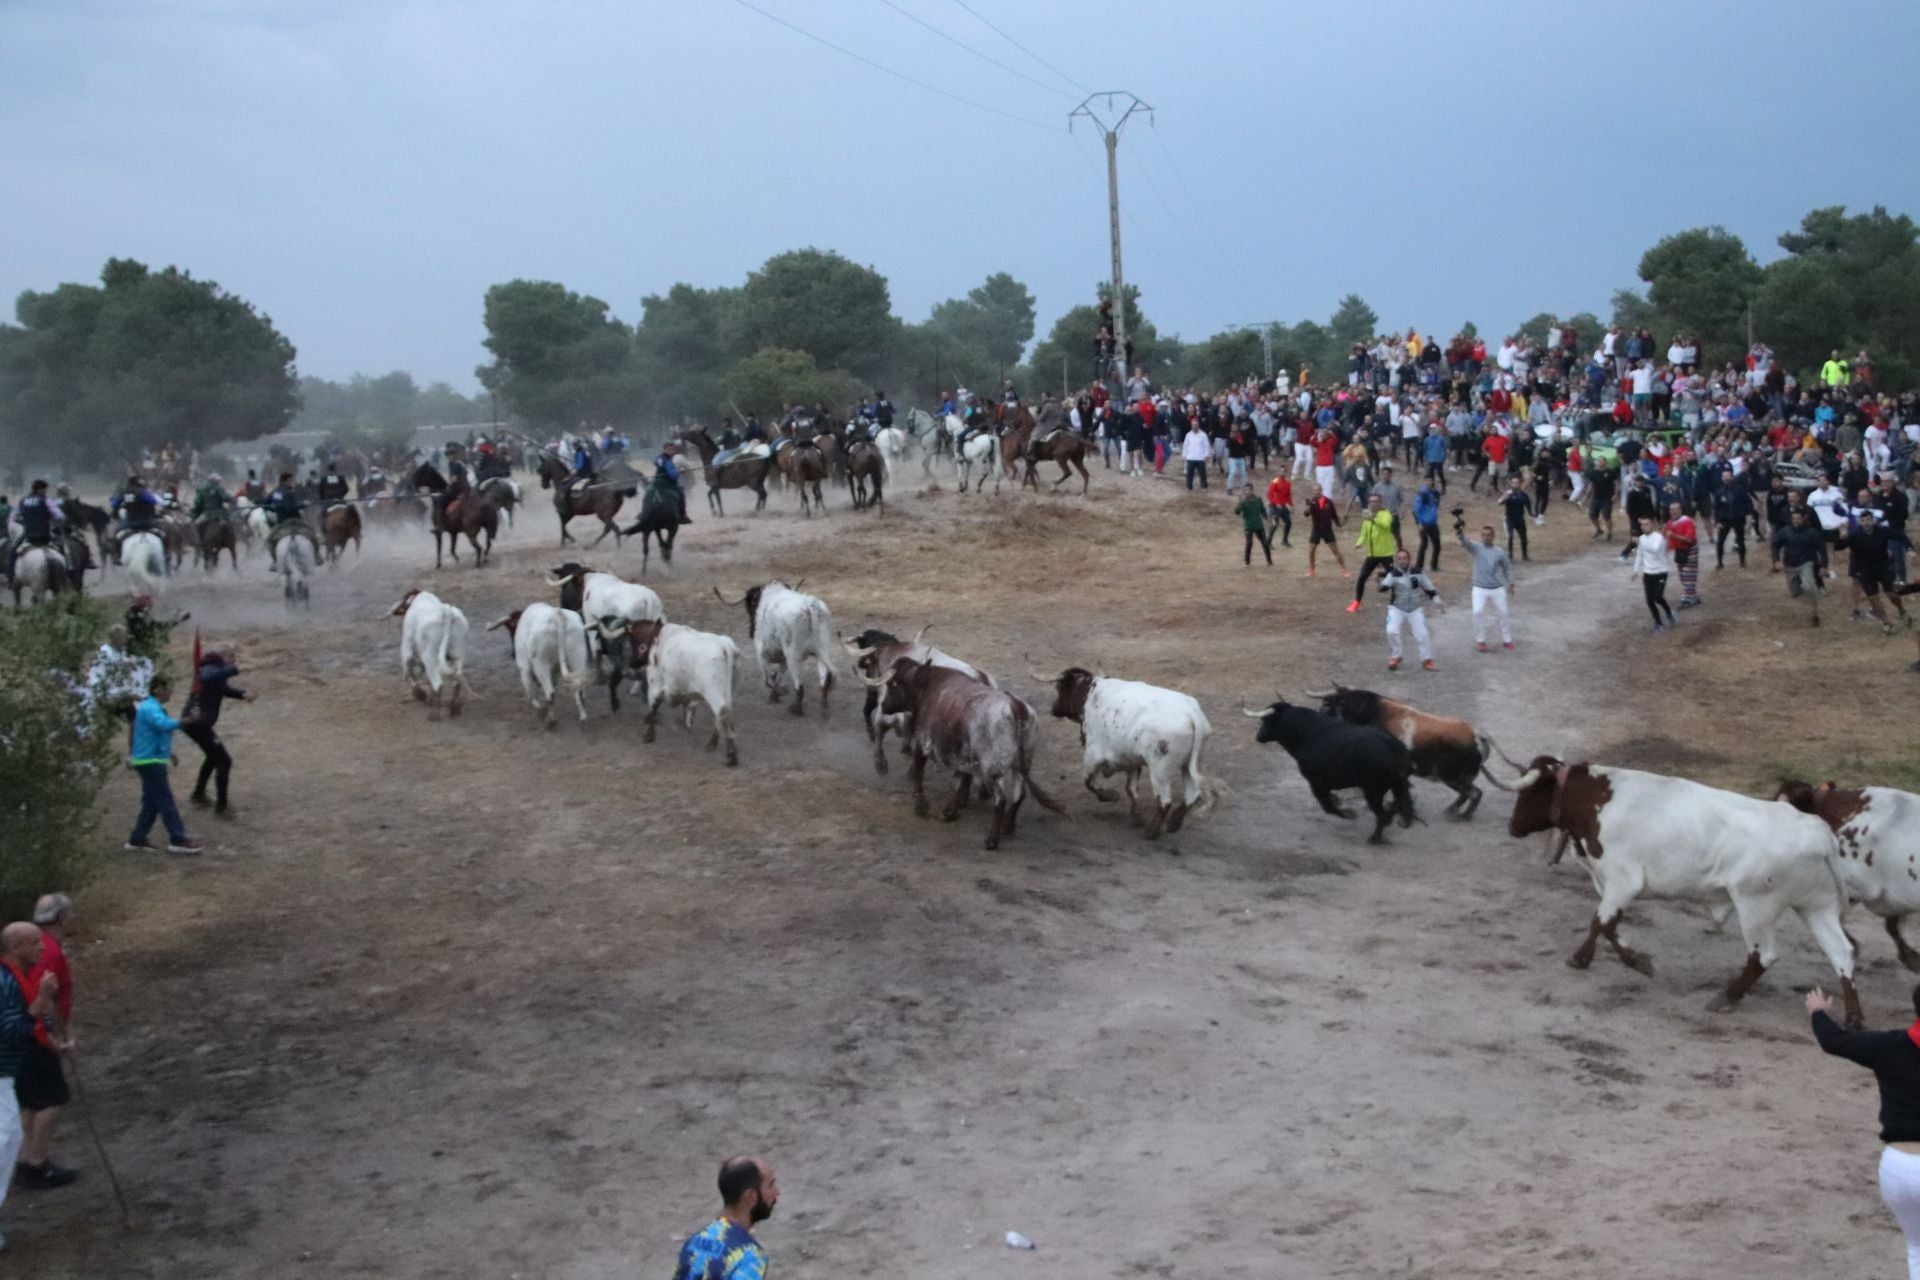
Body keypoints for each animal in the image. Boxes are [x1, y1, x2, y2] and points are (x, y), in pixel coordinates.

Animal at [385, 591, 468, 721]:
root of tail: (446, 613)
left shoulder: (407, 647)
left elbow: (409, 670)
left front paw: (420, 694)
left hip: (430, 657)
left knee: (438, 683)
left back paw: (434, 715)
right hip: (458, 654)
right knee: (457, 681)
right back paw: (453, 709)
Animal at [867, 660, 1067, 852]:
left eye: (892, 684)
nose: (883, 706)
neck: (927, 687)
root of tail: (1017, 708)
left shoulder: (922, 743)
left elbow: (918, 772)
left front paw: (921, 806)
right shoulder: (962, 756)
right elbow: (958, 780)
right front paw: (949, 812)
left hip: (992, 768)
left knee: (1000, 800)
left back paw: (992, 840)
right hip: (1022, 763)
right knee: (1019, 794)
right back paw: (1008, 828)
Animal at [1044, 671, 1221, 840]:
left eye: (1060, 688)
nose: (1053, 709)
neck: (1090, 694)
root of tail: (1192, 715)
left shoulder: (1093, 755)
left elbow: (1088, 781)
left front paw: (1110, 796)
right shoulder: (1132, 762)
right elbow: (1131, 789)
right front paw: (1136, 818)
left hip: (1160, 770)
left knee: (1164, 801)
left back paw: (1151, 832)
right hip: (1191, 764)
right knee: (1192, 793)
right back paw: (1174, 823)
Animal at [1497, 756, 1858, 1028]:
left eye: (1529, 793)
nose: (1512, 826)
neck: (1600, 799)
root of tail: (1817, 831)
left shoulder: (1622, 881)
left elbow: (1603, 923)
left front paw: (1635, 961)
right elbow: (1604, 925)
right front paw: (1586, 958)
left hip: (1756, 908)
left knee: (1763, 955)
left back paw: (1726, 996)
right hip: (1816, 909)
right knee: (1841, 953)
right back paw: (1854, 1017)